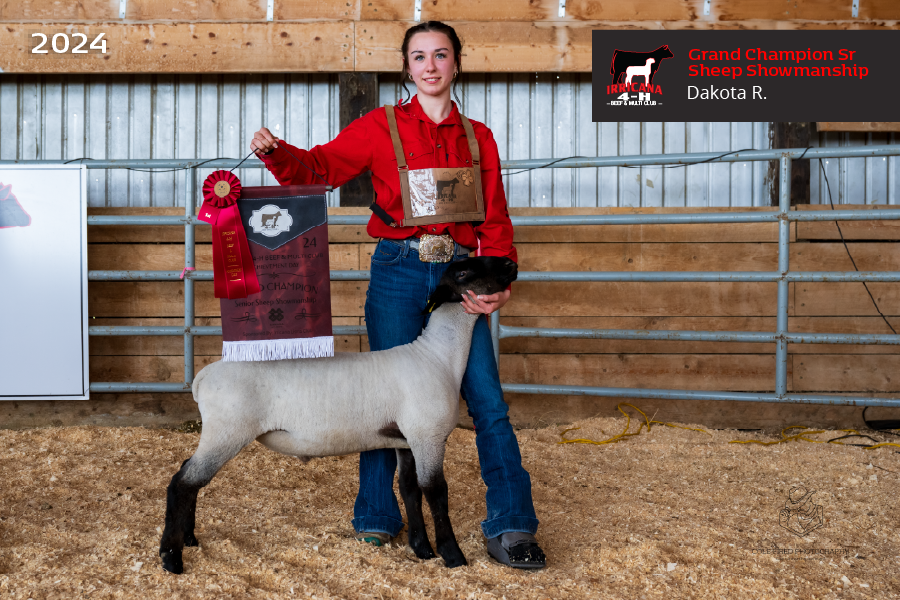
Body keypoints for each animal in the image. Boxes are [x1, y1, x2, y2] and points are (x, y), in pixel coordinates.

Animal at [159, 255, 519, 574]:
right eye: (463, 273)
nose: (511, 263)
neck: (438, 356)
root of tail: (204, 376)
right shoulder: (428, 435)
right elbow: (436, 493)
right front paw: (452, 555)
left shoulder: (405, 440)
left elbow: (410, 490)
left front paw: (422, 549)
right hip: (227, 430)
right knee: (183, 483)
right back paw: (171, 558)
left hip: (219, 432)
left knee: (188, 475)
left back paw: (189, 539)